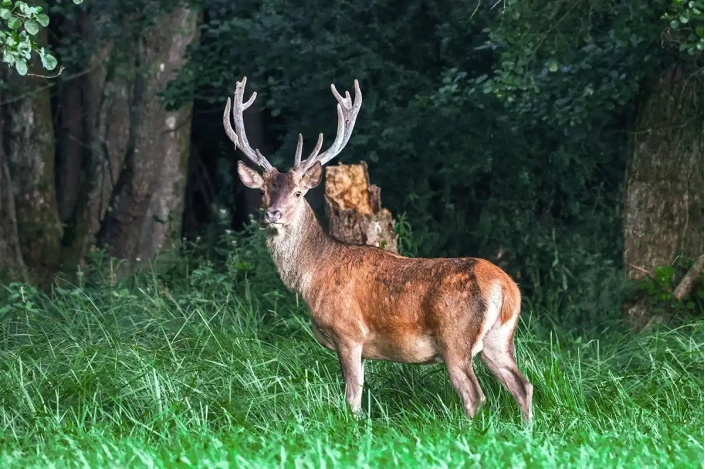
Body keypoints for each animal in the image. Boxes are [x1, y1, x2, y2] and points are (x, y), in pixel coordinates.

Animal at [223, 77, 533, 421]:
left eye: (299, 193)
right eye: (264, 191)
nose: (273, 214)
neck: (313, 274)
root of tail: (506, 286)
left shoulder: (348, 333)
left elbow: (351, 398)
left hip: (455, 337)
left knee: (474, 395)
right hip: (500, 337)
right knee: (523, 385)